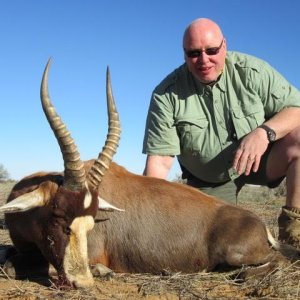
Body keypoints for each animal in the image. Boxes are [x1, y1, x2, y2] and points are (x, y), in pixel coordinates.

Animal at [0, 61, 298, 288]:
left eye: (91, 224)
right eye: (58, 215)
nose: (81, 283)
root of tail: (258, 224)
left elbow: (21, 267)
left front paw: (102, 272)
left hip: (238, 254)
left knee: (273, 262)